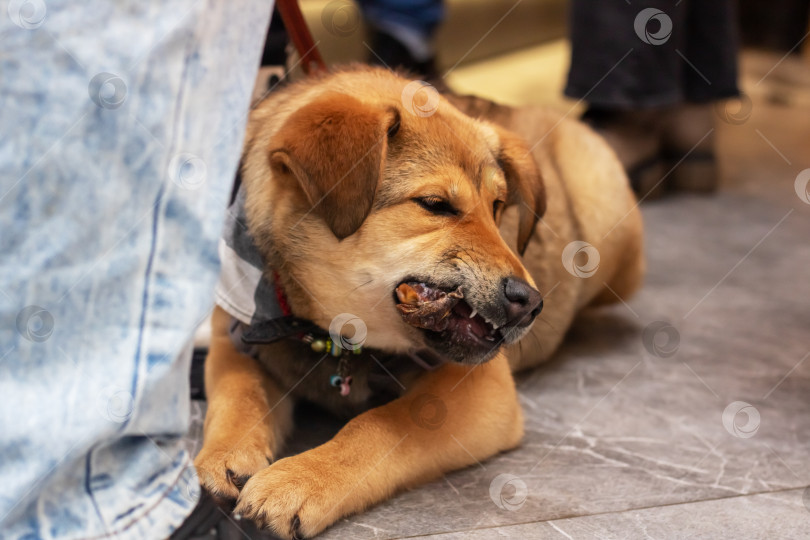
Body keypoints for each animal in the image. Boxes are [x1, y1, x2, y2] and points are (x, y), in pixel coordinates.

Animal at [193, 67, 640, 540]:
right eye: (435, 204)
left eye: (498, 207)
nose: (532, 303)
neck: (337, 339)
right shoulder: (236, 334)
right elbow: (238, 391)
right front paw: (221, 457)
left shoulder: (486, 389)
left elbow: (378, 426)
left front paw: (296, 481)